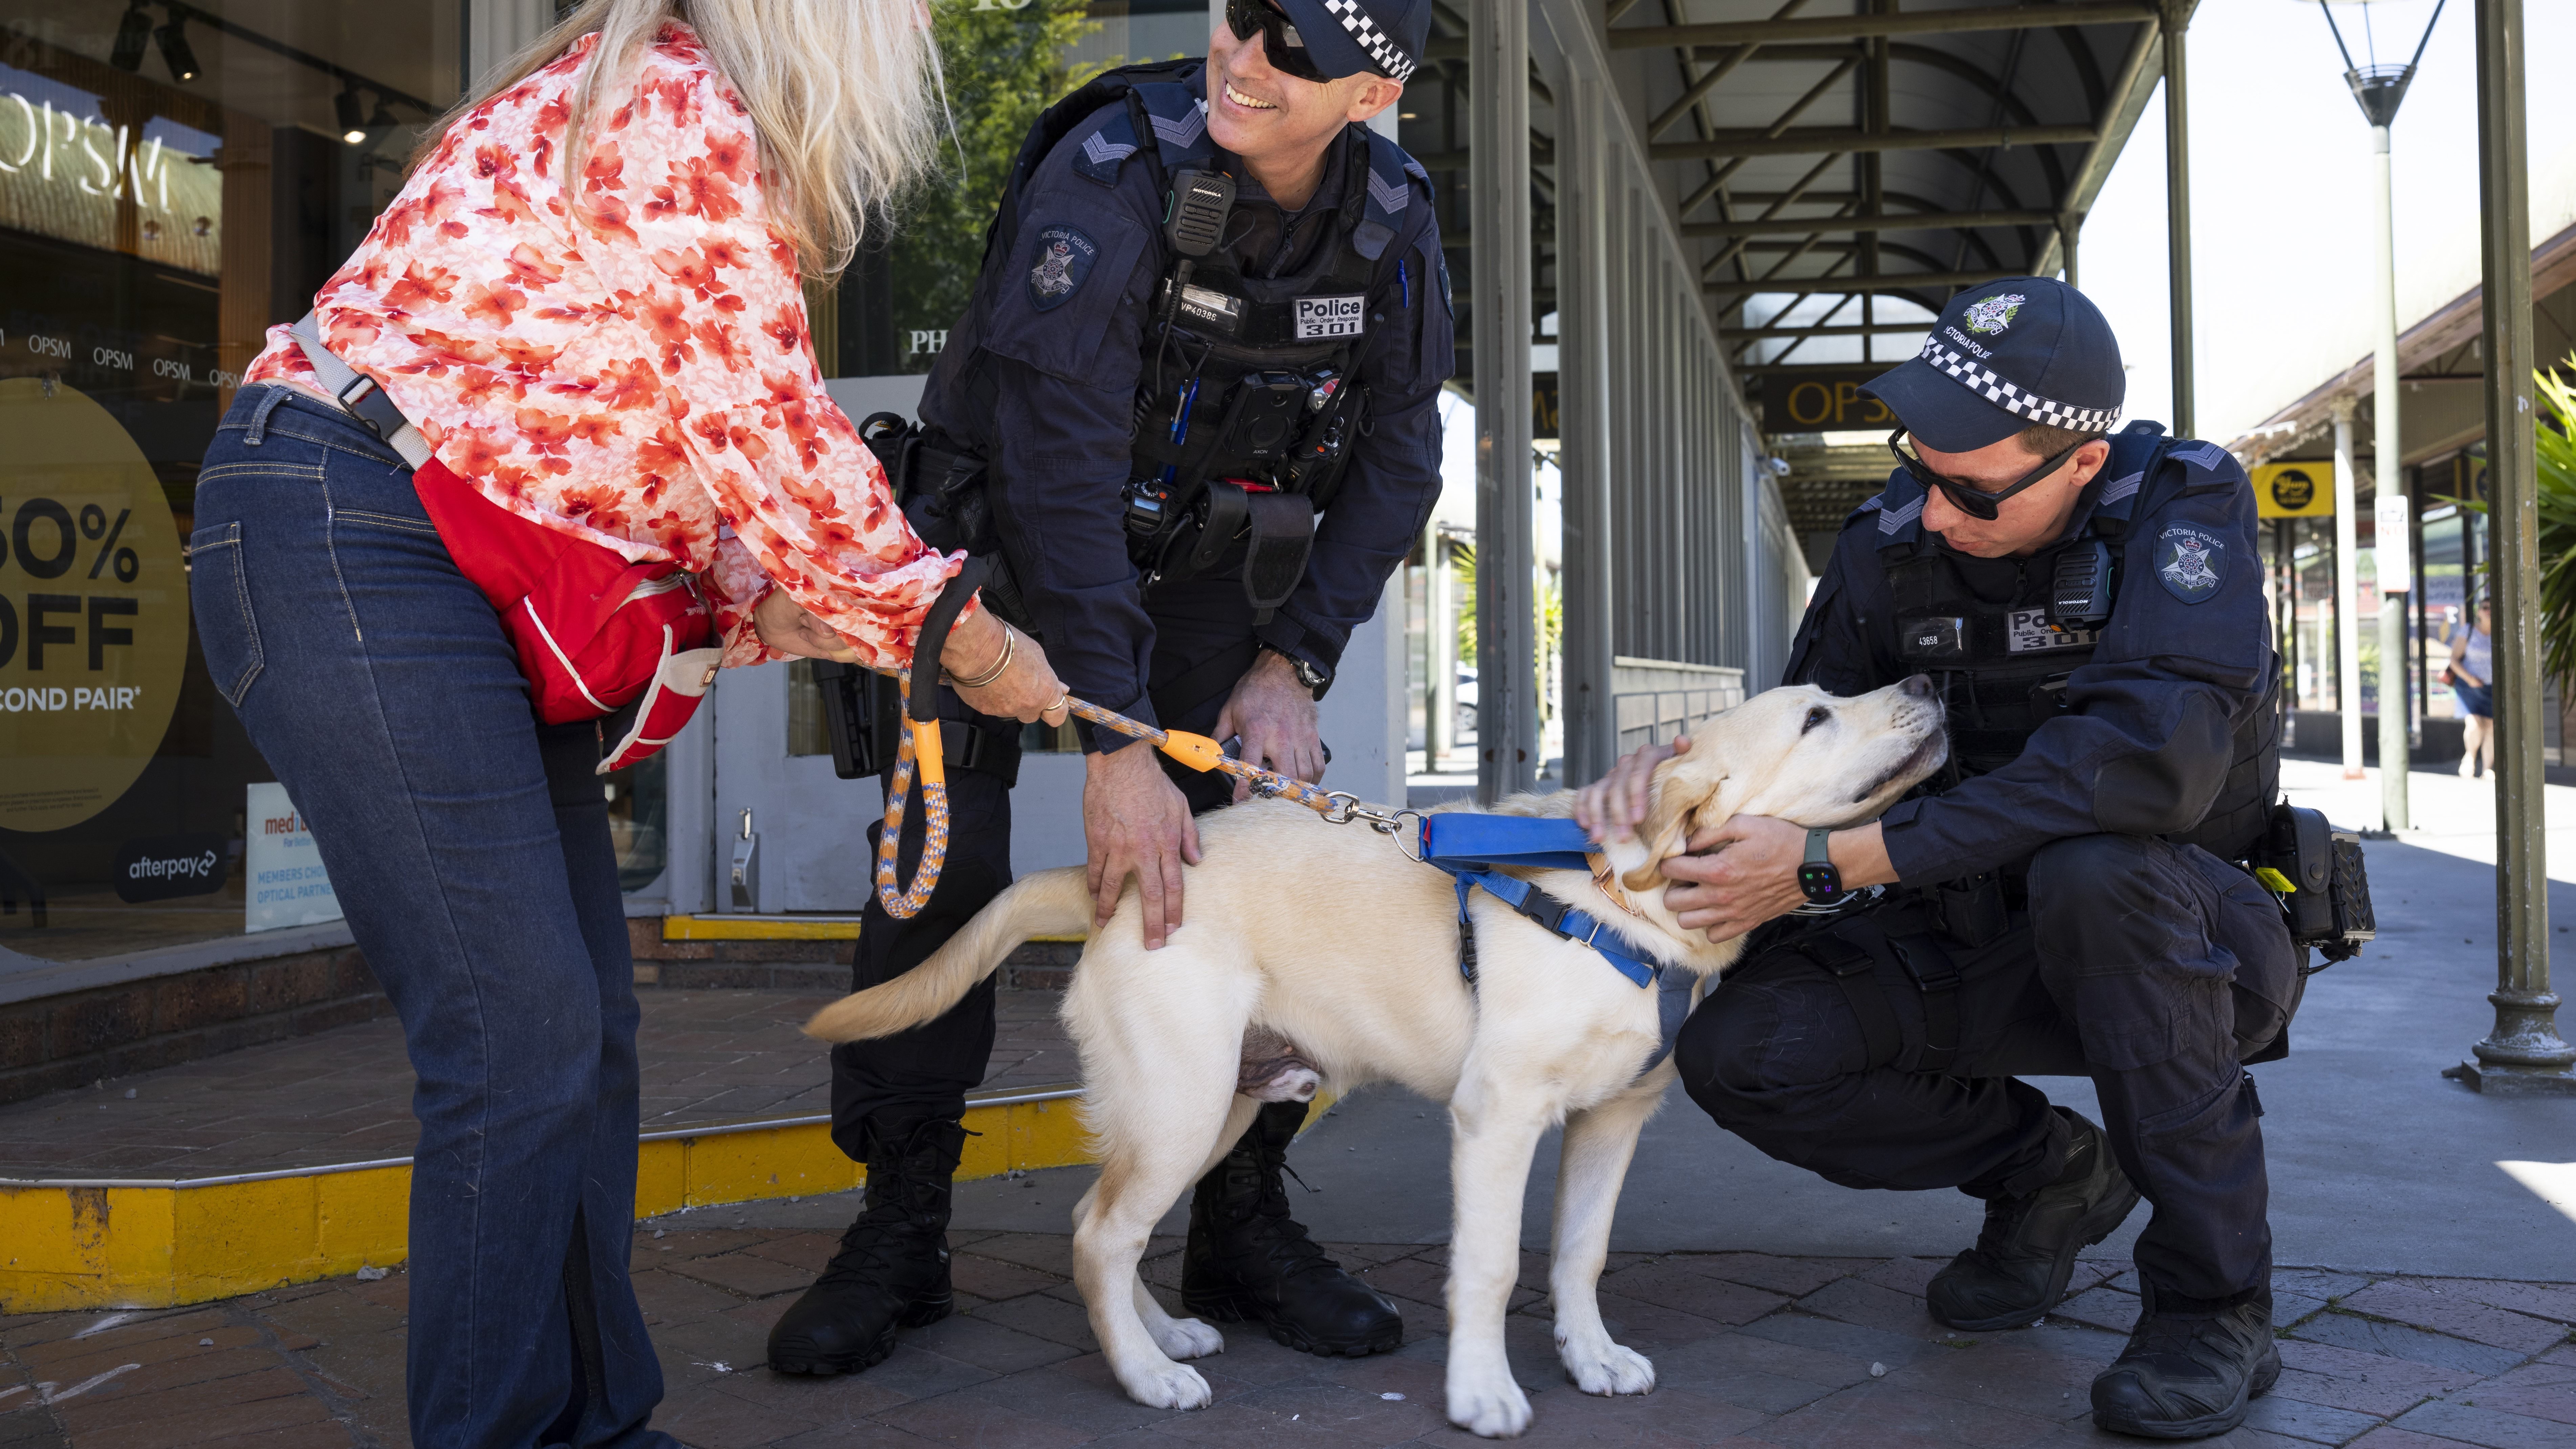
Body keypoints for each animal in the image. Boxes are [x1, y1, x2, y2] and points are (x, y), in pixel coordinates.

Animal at [793, 680, 1937, 1433]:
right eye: (1816, 716)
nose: (1927, 679)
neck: (1627, 901)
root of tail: (1113, 879)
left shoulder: (1614, 1118)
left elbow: (1580, 1252)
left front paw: (1591, 1356)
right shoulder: (1497, 1115)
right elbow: (1490, 1263)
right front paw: (1481, 1392)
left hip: (1217, 1106)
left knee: (1108, 1228)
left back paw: (1161, 1339)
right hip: (1182, 1100)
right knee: (1098, 1232)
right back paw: (1145, 1379)